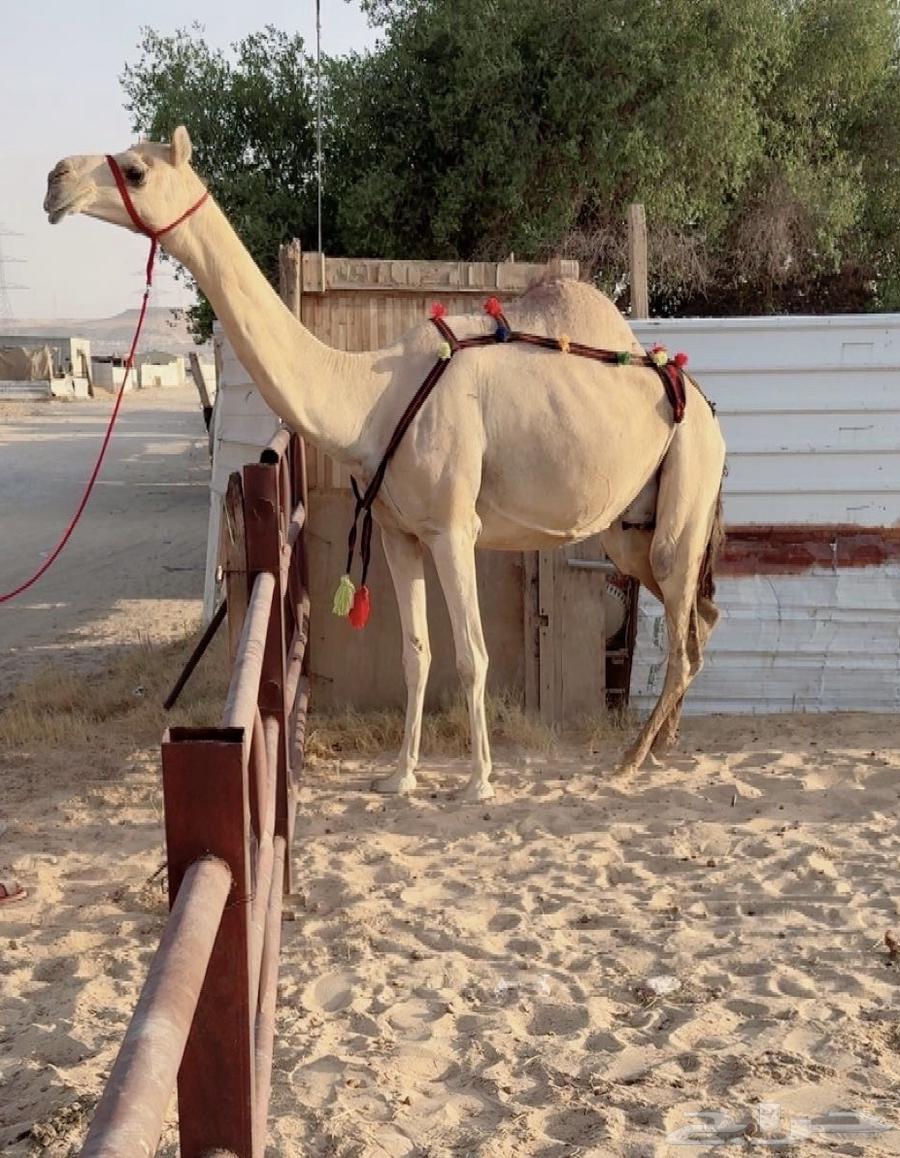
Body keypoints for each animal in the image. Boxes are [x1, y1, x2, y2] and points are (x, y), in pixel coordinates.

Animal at [44, 126, 726, 802]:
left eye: (136, 170)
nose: (55, 181)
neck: (369, 399)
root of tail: (708, 408)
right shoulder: (400, 531)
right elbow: (415, 652)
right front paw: (401, 773)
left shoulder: (453, 527)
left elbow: (472, 655)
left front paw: (478, 781)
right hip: (628, 530)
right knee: (699, 621)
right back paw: (657, 746)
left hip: (686, 493)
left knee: (684, 630)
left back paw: (632, 758)